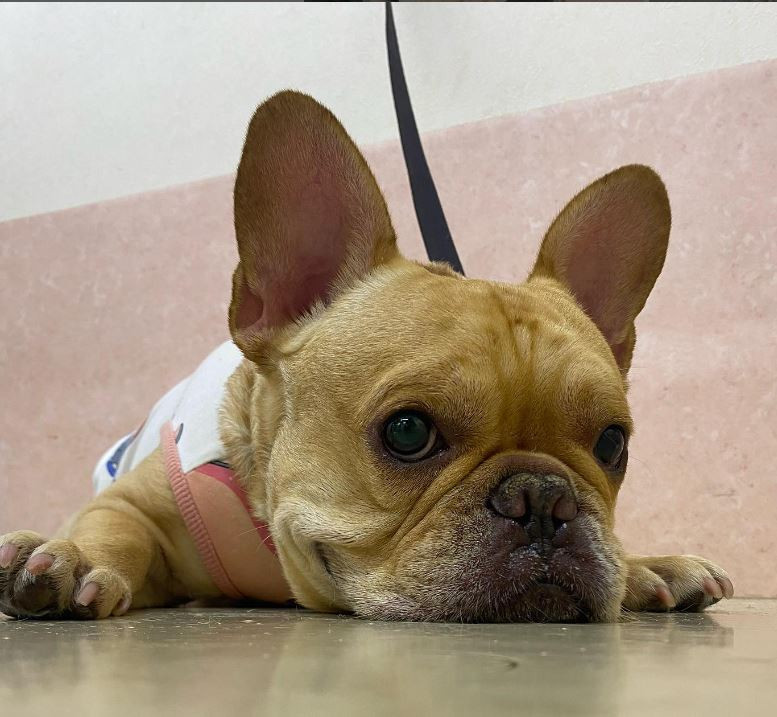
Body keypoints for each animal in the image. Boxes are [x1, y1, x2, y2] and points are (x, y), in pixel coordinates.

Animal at [0, 91, 733, 622]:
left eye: (612, 444)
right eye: (407, 432)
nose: (545, 498)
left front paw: (645, 564)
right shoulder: (136, 503)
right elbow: (115, 528)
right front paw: (71, 556)